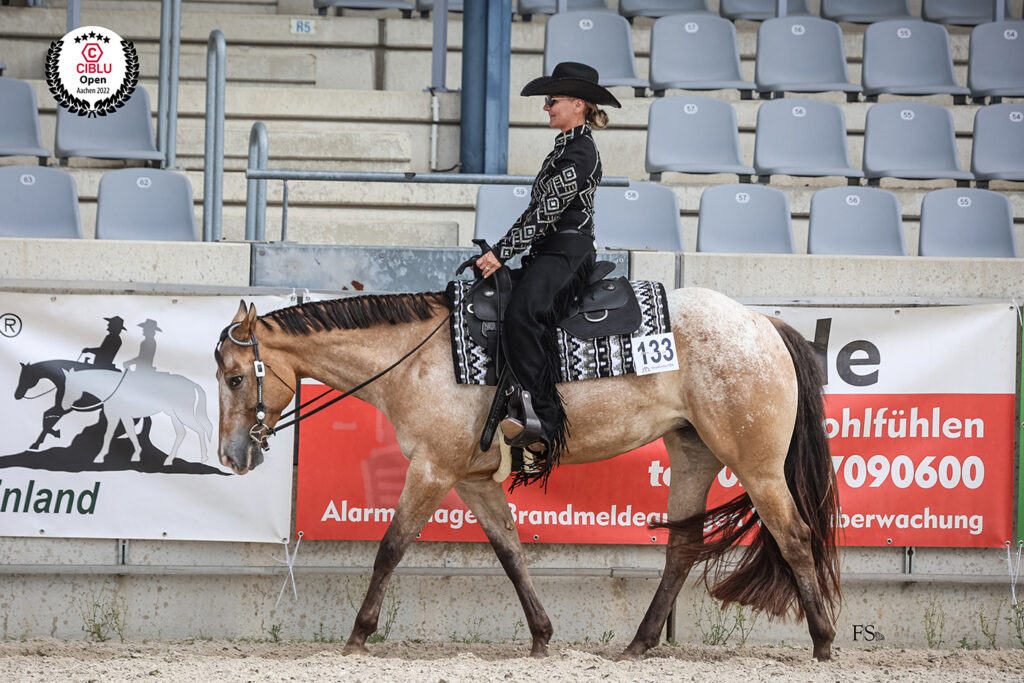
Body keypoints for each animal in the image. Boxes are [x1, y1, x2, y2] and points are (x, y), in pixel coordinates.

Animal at [214, 286, 839, 663]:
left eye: (235, 378)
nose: (231, 455)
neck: (417, 359)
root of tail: (762, 322)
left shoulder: (433, 468)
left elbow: (390, 547)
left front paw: (357, 637)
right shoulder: (471, 479)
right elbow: (511, 553)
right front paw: (541, 637)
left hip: (757, 466)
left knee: (795, 537)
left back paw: (823, 643)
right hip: (693, 455)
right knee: (683, 547)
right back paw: (638, 645)